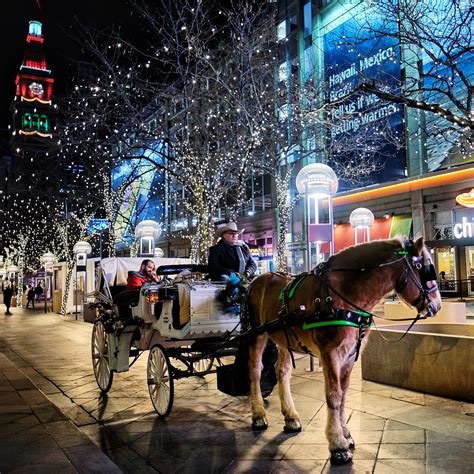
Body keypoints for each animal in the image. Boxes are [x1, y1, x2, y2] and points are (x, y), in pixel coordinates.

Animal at [246, 237, 442, 462]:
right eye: (423, 268)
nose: (438, 305)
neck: (344, 294)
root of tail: (258, 280)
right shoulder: (329, 353)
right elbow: (334, 394)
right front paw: (337, 443)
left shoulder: (349, 356)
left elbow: (344, 394)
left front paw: (346, 433)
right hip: (256, 335)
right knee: (255, 371)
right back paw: (258, 415)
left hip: (284, 339)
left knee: (282, 372)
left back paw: (291, 417)